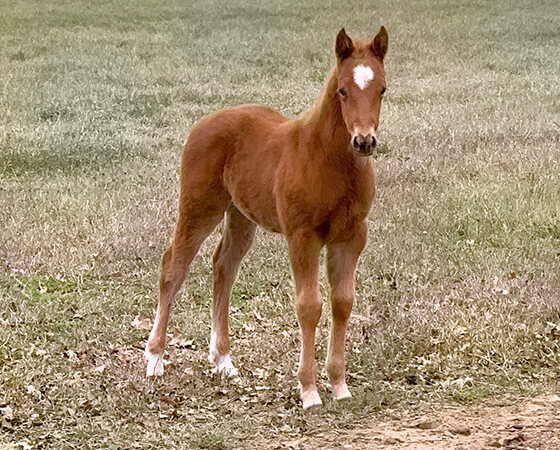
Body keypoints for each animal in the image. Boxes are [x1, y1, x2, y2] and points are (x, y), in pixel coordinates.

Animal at [147, 26, 388, 410]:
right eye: (342, 90)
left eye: (382, 89)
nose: (364, 141)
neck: (328, 161)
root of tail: (204, 121)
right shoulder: (303, 236)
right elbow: (309, 306)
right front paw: (309, 391)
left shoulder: (351, 236)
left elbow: (343, 303)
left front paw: (339, 385)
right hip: (200, 208)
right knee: (173, 267)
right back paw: (154, 359)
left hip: (241, 216)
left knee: (223, 267)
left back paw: (223, 361)